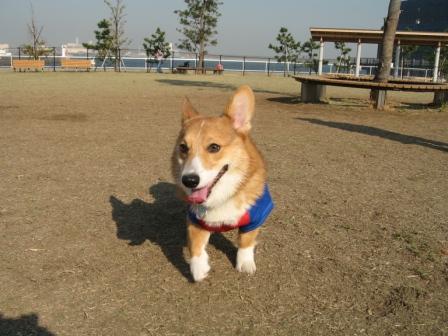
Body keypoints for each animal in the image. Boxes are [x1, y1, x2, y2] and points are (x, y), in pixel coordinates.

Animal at [173, 85, 274, 282]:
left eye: (214, 147)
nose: (189, 180)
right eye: (183, 147)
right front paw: (199, 268)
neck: (222, 196)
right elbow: (195, 243)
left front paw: (245, 263)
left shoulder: (256, 216)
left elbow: (246, 240)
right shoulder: (194, 219)